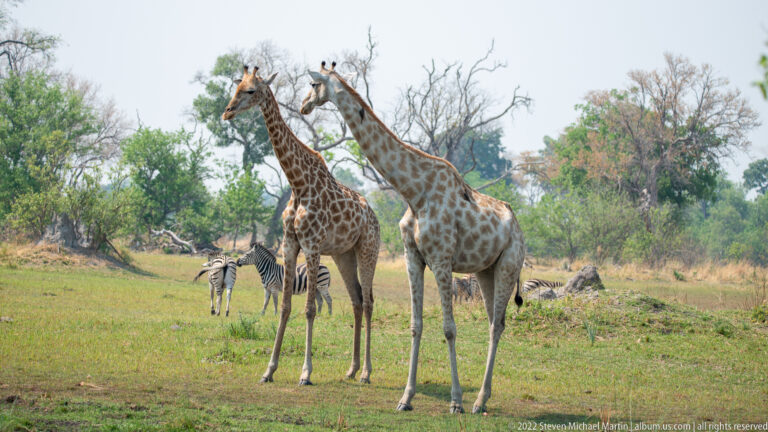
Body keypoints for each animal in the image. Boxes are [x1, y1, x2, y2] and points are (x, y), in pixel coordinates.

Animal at [222, 65, 380, 385]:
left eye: (251, 90)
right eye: (236, 87)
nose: (227, 112)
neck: (298, 183)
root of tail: (376, 218)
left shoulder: (312, 244)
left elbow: (309, 309)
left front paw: (305, 373)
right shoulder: (290, 243)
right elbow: (285, 307)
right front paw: (269, 370)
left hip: (368, 250)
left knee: (369, 301)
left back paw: (366, 372)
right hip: (344, 255)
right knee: (356, 300)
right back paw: (352, 368)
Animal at [300, 62, 525, 414]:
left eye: (313, 84)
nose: (302, 106)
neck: (414, 192)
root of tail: (517, 227)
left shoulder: (442, 258)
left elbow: (449, 328)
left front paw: (455, 401)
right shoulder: (413, 257)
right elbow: (416, 324)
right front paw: (406, 398)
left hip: (509, 266)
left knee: (495, 325)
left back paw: (475, 402)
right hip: (486, 271)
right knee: (495, 321)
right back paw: (483, 400)